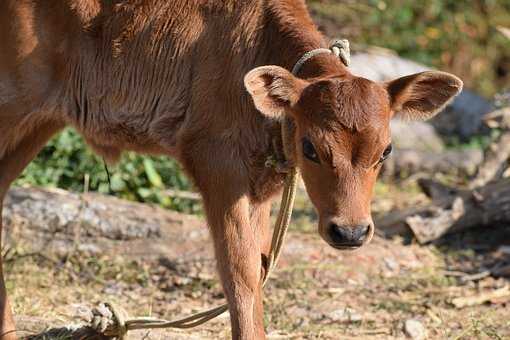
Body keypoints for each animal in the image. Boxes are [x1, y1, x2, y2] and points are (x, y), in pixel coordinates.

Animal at [0, 1, 462, 338]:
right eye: (310, 147)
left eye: (386, 150)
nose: (349, 232)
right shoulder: (216, 164)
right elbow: (239, 274)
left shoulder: (259, 186)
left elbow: (259, 267)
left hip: (37, 124)